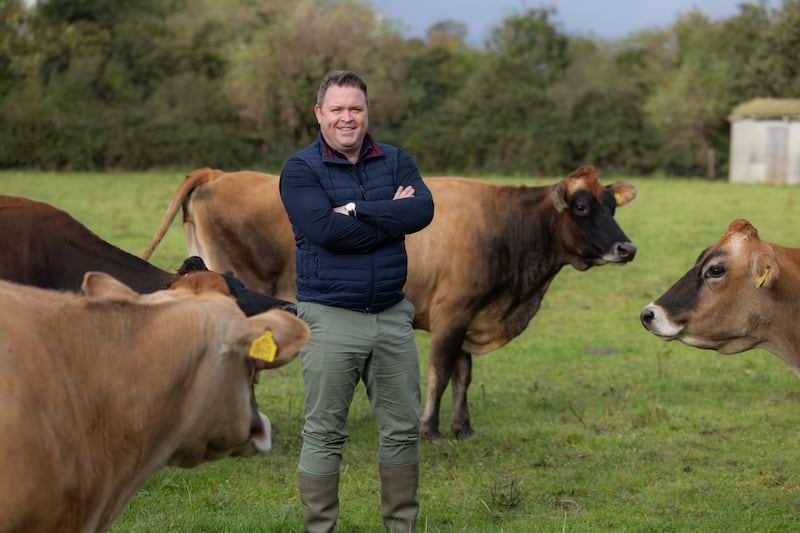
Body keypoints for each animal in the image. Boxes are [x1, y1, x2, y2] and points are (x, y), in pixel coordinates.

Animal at [144, 165, 640, 440]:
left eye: (613, 206)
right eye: (581, 207)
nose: (628, 248)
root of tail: (219, 174)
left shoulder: (469, 313)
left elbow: (464, 376)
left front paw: (463, 428)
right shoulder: (452, 314)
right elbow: (441, 374)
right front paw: (431, 430)